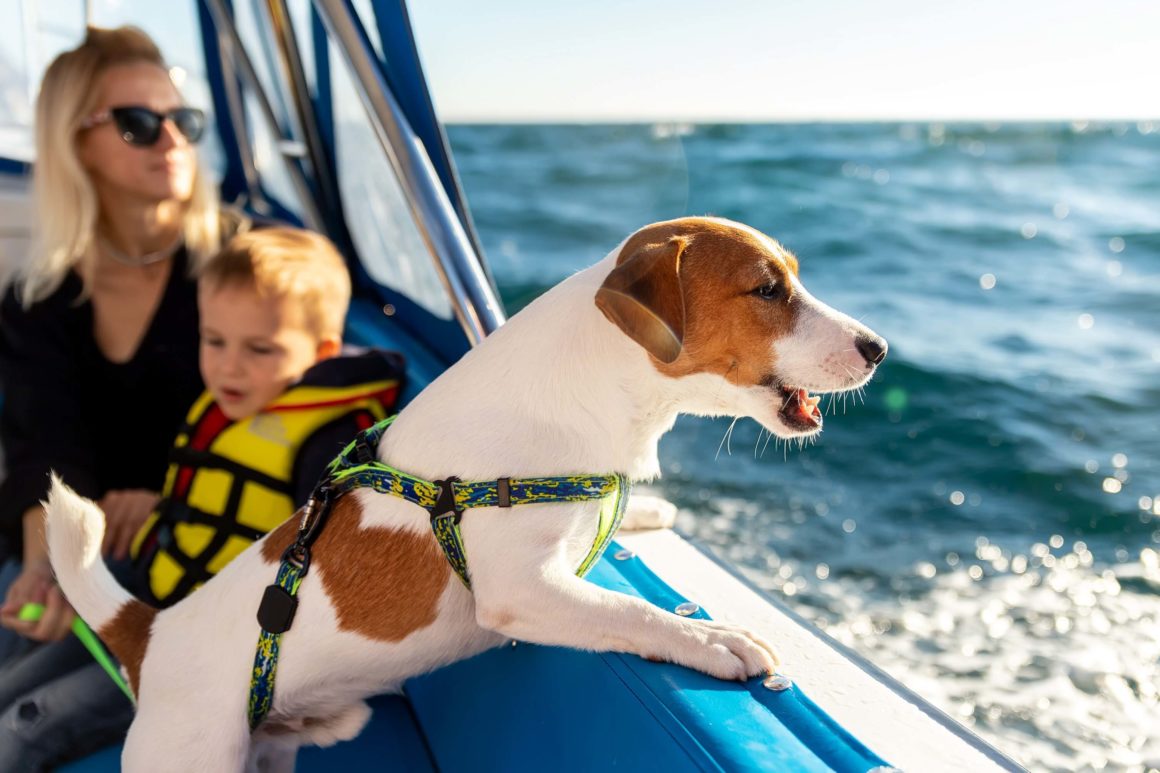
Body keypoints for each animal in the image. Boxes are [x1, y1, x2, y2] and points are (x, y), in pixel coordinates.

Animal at [40, 213, 881, 766]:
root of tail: (150, 634)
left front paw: (647, 512)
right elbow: (629, 611)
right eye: (766, 289)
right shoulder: (521, 589)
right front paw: (712, 639)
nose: (877, 347)